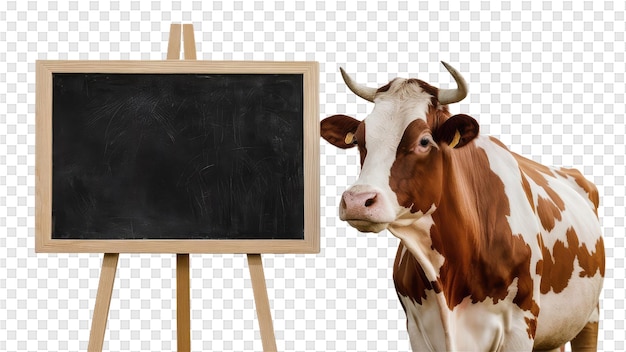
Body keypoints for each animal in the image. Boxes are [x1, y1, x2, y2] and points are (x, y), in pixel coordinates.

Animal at [320, 62, 604, 350]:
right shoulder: (418, 329)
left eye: (424, 141)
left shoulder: (520, 327)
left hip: (590, 315)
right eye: (358, 140)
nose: (357, 201)